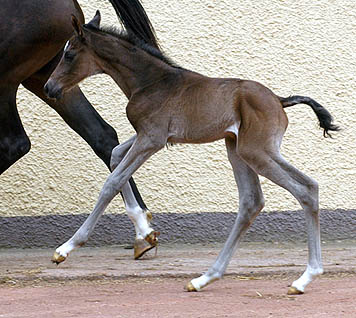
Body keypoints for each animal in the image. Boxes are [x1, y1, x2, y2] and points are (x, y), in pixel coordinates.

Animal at [44, 8, 340, 294]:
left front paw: (65, 249)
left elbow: (111, 182)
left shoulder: (152, 138)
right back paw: (205, 279)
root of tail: (280, 100)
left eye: (69, 54)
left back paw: (304, 278)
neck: (151, 81)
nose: (49, 87)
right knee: (253, 200)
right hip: (238, 149)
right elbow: (116, 155)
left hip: (256, 151)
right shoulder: (152, 136)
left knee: (305, 189)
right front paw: (144, 232)